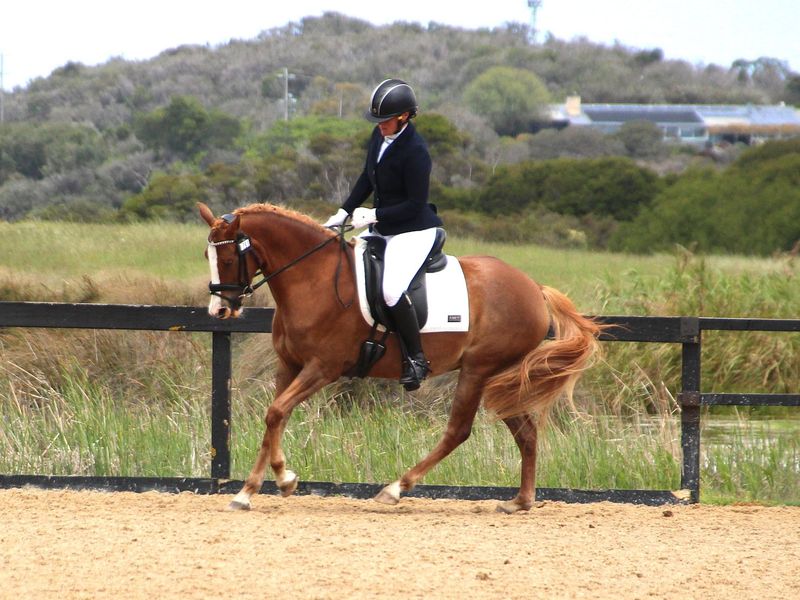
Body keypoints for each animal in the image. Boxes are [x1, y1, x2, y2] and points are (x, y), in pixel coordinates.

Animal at [198, 202, 602, 513]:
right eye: (207, 255)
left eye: (230, 256)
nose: (220, 311)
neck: (313, 279)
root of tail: (534, 287)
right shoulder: (289, 366)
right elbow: (273, 420)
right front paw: (248, 492)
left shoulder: (322, 368)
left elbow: (277, 412)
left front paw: (284, 478)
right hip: (495, 377)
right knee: (526, 433)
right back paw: (520, 501)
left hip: (478, 370)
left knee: (459, 431)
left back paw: (395, 488)